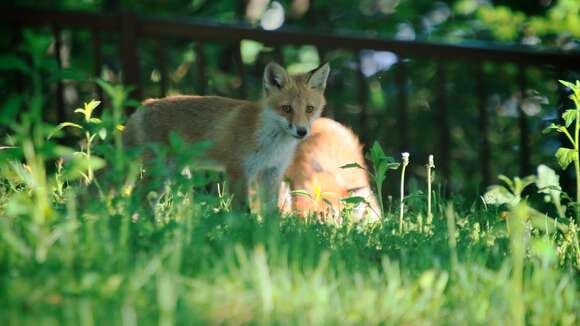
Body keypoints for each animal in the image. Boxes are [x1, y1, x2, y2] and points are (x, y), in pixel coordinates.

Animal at [121, 62, 330, 213]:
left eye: (309, 109)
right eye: (286, 109)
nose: (302, 131)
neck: (271, 144)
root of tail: (145, 103)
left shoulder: (271, 172)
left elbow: (271, 214)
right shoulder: (238, 171)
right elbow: (243, 212)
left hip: (170, 174)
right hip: (160, 171)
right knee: (136, 198)